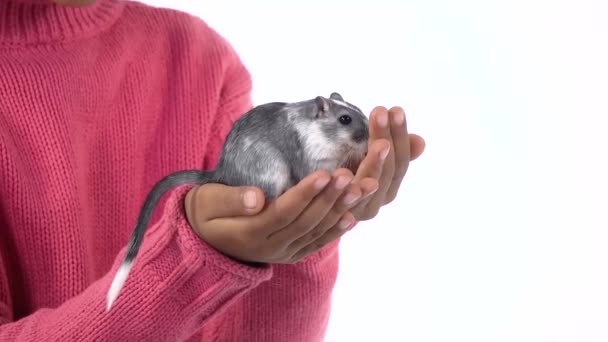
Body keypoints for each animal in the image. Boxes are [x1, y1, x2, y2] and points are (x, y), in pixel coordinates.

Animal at [104, 92, 368, 312]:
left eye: (358, 111)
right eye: (345, 119)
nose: (367, 138)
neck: (318, 129)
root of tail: (221, 173)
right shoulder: (310, 159)